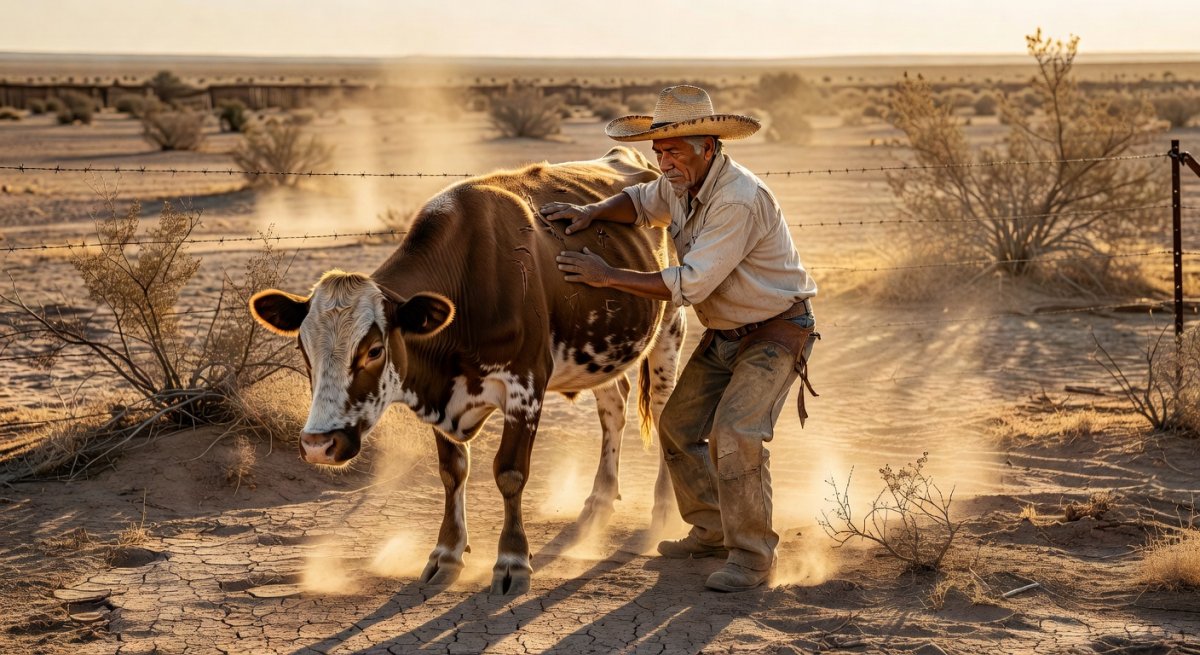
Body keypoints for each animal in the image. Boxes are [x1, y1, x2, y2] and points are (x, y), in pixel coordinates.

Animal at [248, 146, 685, 595]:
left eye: (373, 350)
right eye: (303, 348)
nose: (319, 445)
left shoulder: (525, 387)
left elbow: (510, 472)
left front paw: (512, 559)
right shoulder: (441, 396)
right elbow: (452, 472)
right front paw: (447, 554)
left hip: (670, 326)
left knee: (663, 410)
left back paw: (663, 508)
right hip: (600, 353)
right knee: (612, 408)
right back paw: (599, 501)